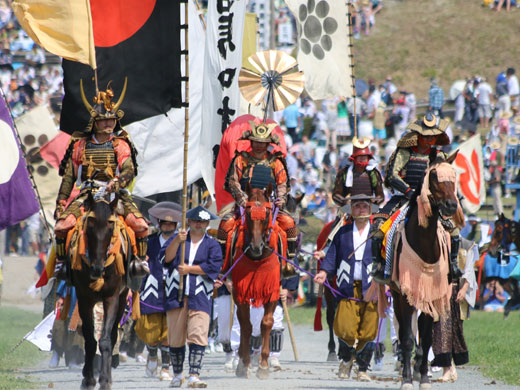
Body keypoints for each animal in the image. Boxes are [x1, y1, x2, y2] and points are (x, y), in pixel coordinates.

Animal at [70, 190, 131, 388]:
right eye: (90, 227)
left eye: (111, 228)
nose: (97, 269)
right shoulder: (84, 299)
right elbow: (90, 339)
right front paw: (88, 379)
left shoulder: (112, 297)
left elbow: (105, 340)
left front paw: (104, 379)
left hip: (123, 298)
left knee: (112, 336)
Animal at [231, 184, 282, 380]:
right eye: (247, 211)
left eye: (267, 213)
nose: (255, 247)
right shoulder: (241, 291)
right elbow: (246, 326)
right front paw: (244, 364)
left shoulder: (272, 289)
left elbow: (266, 323)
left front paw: (264, 365)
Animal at [390, 155, 464, 390]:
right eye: (433, 177)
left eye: (454, 177)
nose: (451, 205)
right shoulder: (406, 294)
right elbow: (406, 338)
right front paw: (406, 380)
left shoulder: (433, 294)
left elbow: (427, 338)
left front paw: (422, 377)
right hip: (397, 294)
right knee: (404, 331)